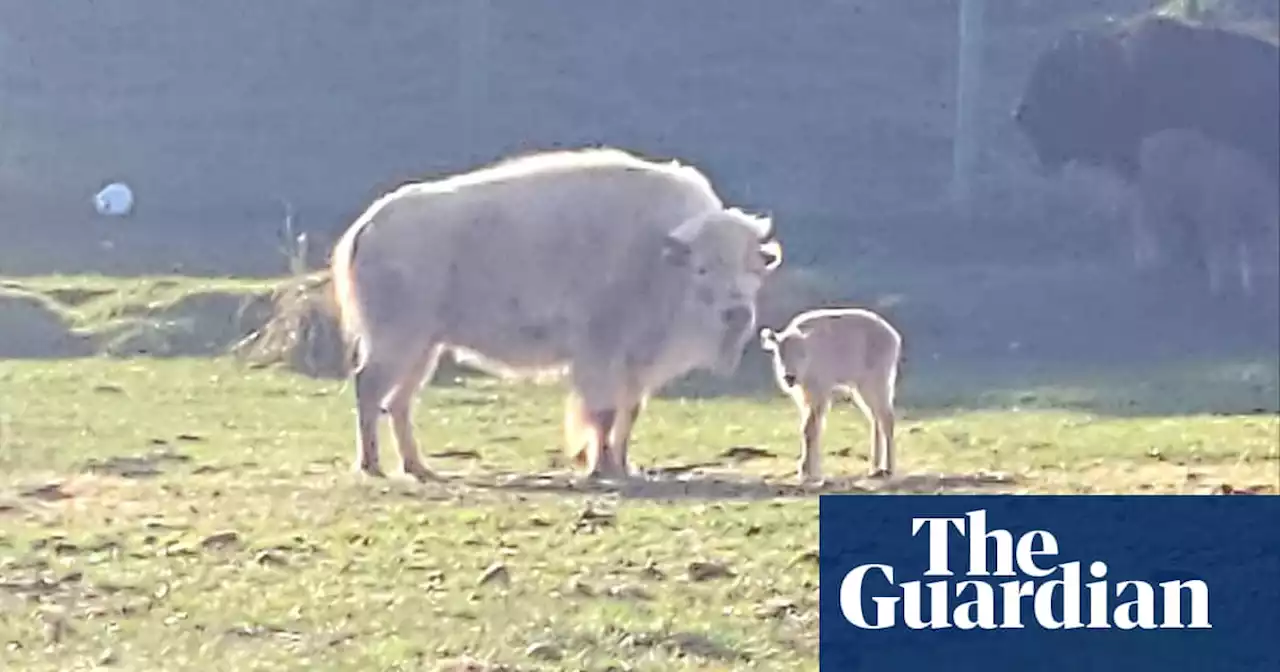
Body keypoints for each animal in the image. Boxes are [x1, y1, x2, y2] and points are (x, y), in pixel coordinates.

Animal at [330, 147, 778, 481]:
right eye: (703, 268)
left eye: (754, 269)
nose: (737, 312)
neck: (659, 256)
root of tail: (369, 224)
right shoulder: (599, 352)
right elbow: (602, 413)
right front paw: (600, 468)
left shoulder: (636, 363)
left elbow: (628, 413)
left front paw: (624, 466)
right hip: (398, 341)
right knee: (370, 388)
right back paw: (373, 466)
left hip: (425, 347)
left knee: (399, 401)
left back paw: (418, 468)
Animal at [757, 305, 901, 483]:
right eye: (779, 353)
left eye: (801, 353)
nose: (789, 376)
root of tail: (893, 337)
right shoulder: (805, 396)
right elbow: (811, 427)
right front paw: (811, 471)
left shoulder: (820, 393)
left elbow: (810, 428)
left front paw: (806, 472)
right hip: (860, 388)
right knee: (875, 418)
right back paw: (874, 468)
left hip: (876, 383)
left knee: (886, 418)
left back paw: (888, 469)